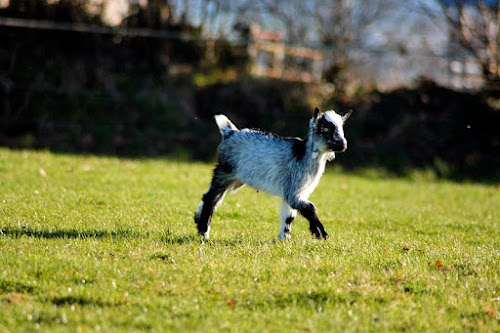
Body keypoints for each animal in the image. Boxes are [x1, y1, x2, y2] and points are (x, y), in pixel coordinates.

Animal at [192, 107, 352, 240]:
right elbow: (309, 207)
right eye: (325, 128)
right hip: (225, 172)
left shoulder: (294, 192)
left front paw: (284, 239)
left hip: (235, 179)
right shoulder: (293, 189)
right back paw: (203, 232)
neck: (304, 155)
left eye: (341, 127)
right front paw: (320, 233)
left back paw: (197, 218)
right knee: (210, 199)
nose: (343, 144)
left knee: (212, 198)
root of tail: (231, 132)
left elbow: (289, 216)